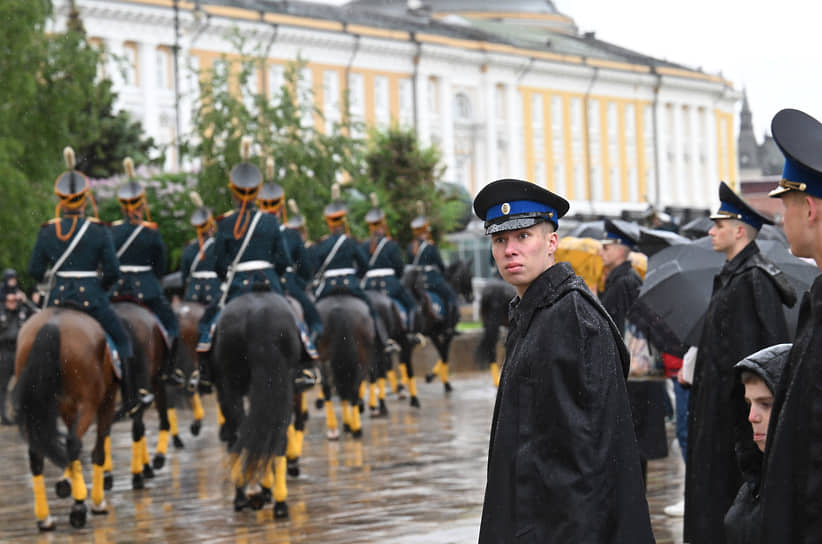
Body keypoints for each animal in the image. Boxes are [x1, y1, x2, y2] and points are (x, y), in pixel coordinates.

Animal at [12, 308, 120, 528]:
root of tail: (54, 321)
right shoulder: (108, 400)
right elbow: (98, 451)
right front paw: (96, 502)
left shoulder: (67, 408)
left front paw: (66, 482)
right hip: (89, 404)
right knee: (73, 443)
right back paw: (78, 507)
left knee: (37, 455)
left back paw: (44, 518)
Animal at [212, 292, 302, 520]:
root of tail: (257, 315)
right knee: (274, 436)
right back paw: (276, 500)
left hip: (233, 386)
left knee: (243, 433)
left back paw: (249, 494)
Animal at [316, 296, 376, 440]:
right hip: (363, 358)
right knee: (353, 389)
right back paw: (356, 428)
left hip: (322, 358)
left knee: (328, 388)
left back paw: (334, 428)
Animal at [402, 260, 474, 396]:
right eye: (470, 275)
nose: (471, 298)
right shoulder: (448, 333)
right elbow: (444, 354)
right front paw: (445, 383)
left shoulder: (433, 334)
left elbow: (441, 352)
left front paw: (432, 376)